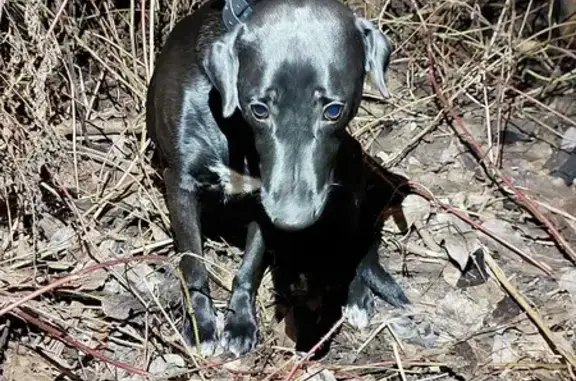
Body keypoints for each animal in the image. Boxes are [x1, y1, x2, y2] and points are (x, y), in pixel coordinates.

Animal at [147, 0, 410, 356]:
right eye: (259, 109)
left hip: (351, 172)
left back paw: (355, 296)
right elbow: (193, 264)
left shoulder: (263, 203)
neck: (235, 131)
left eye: (333, 110)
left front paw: (240, 322)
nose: (292, 220)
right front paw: (202, 326)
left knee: (353, 247)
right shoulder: (181, 185)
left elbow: (250, 265)